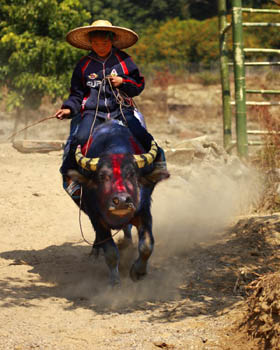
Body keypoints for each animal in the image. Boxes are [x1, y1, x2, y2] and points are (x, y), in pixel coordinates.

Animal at [68, 119, 168, 284]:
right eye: (102, 176)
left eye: (132, 174)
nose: (121, 201)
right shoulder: (97, 218)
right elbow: (110, 252)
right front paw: (115, 281)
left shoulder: (144, 212)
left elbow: (147, 245)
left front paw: (138, 272)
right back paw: (95, 252)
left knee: (127, 230)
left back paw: (127, 243)